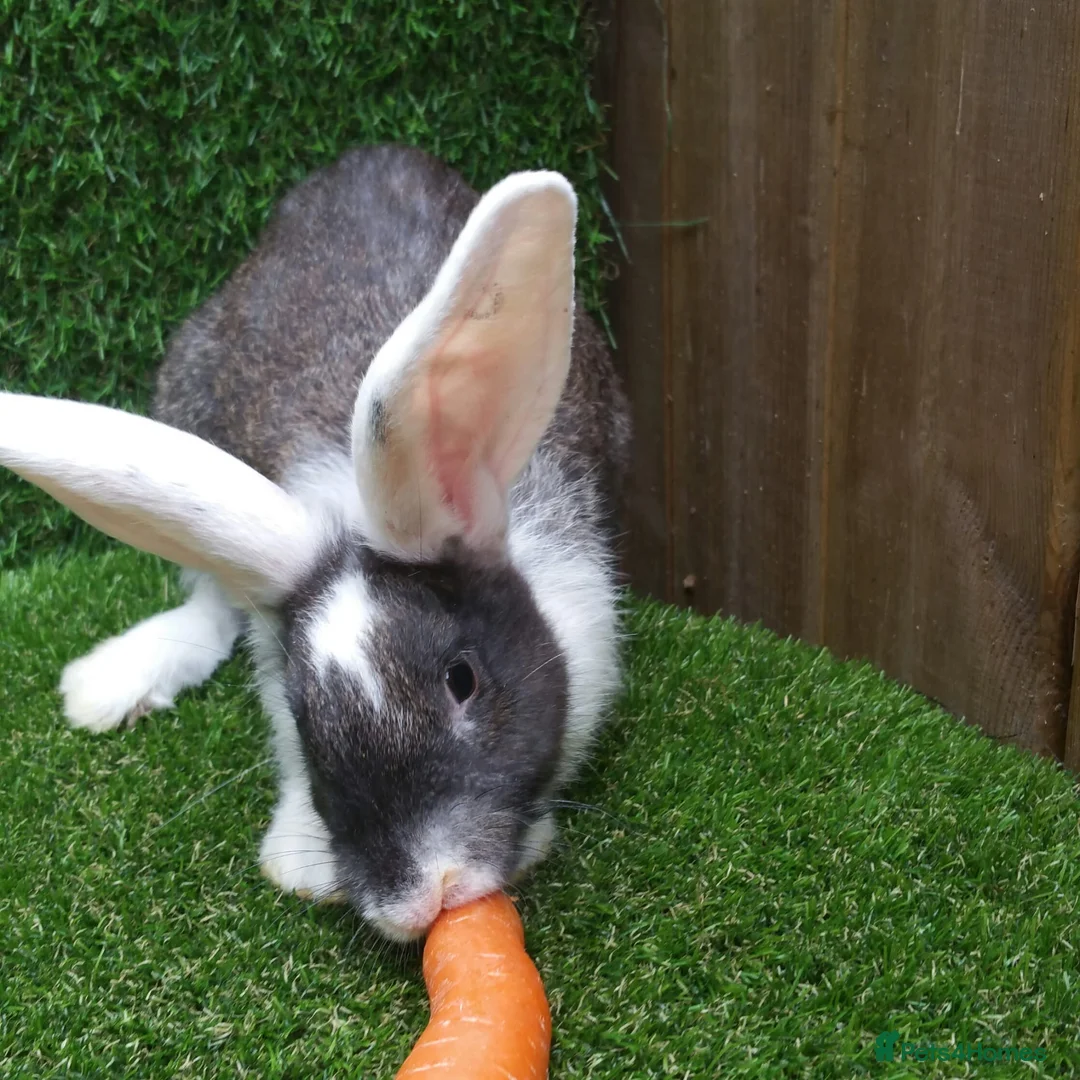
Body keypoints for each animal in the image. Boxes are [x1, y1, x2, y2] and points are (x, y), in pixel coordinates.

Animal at [0, 144, 631, 942]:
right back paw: (114, 682)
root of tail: (371, 154)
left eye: (463, 679)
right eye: (307, 719)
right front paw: (298, 858)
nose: (422, 896)